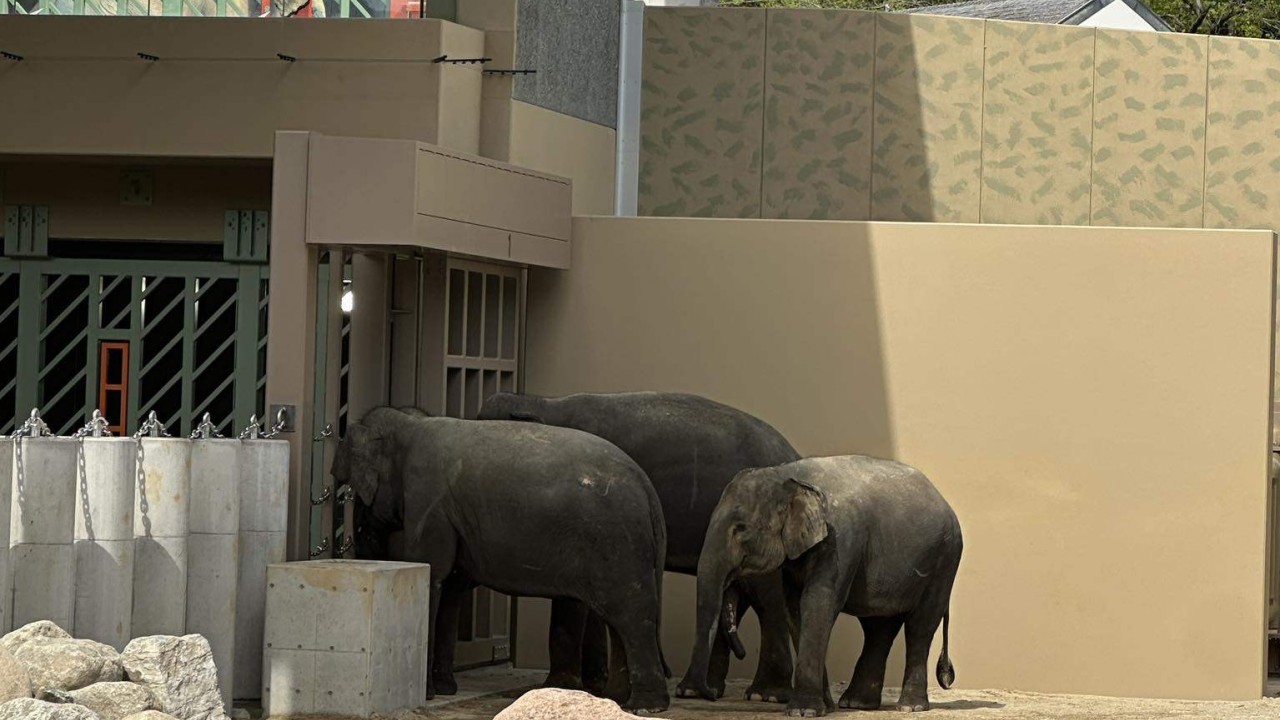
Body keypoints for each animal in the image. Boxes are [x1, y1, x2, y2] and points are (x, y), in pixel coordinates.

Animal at [334, 406, 672, 713]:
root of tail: (647, 489)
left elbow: (433, 572)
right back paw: (617, 700)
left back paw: (645, 708)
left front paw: (429, 695)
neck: (411, 423)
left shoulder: (429, 499)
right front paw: (444, 689)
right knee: (618, 619)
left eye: (355, 491)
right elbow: (452, 586)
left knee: (631, 615)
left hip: (617, 542)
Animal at [477, 391, 802, 702]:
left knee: (766, 598)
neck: (540, 402)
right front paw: (595, 684)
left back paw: (766, 694)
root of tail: (793, 452)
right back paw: (699, 691)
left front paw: (563, 686)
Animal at [684, 455, 962, 717]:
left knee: (919, 626)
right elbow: (795, 608)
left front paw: (803, 712)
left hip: (944, 561)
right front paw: (824, 707)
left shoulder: (840, 540)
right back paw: (856, 703)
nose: (710, 695)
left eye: (740, 528)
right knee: (879, 627)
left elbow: (818, 602)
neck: (788, 474)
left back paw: (909, 707)